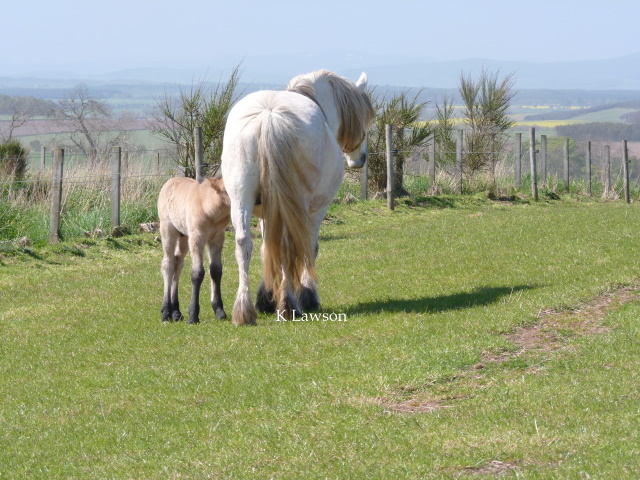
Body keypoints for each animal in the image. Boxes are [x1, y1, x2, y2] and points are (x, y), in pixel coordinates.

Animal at [158, 176, 231, 324]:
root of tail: (170, 181)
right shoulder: (197, 238)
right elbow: (197, 273)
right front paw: (193, 315)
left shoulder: (217, 238)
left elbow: (216, 271)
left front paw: (219, 311)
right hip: (168, 230)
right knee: (168, 264)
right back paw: (166, 312)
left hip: (184, 237)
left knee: (178, 263)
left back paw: (176, 312)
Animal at [221, 70, 375, 326]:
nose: (361, 157)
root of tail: (269, 115)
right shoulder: (316, 211)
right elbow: (310, 247)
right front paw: (307, 293)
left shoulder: (267, 212)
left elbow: (267, 248)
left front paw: (265, 297)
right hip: (297, 205)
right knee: (289, 245)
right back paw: (289, 304)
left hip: (241, 201)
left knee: (244, 243)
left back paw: (244, 311)